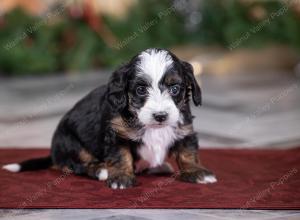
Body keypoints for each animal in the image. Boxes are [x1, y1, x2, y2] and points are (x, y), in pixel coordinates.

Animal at [3, 48, 217, 189]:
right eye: (140, 90)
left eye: (175, 88)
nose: (160, 116)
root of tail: (54, 154)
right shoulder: (116, 132)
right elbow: (120, 155)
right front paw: (121, 177)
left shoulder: (184, 128)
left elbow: (187, 152)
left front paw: (197, 172)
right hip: (69, 141)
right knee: (74, 164)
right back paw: (101, 170)